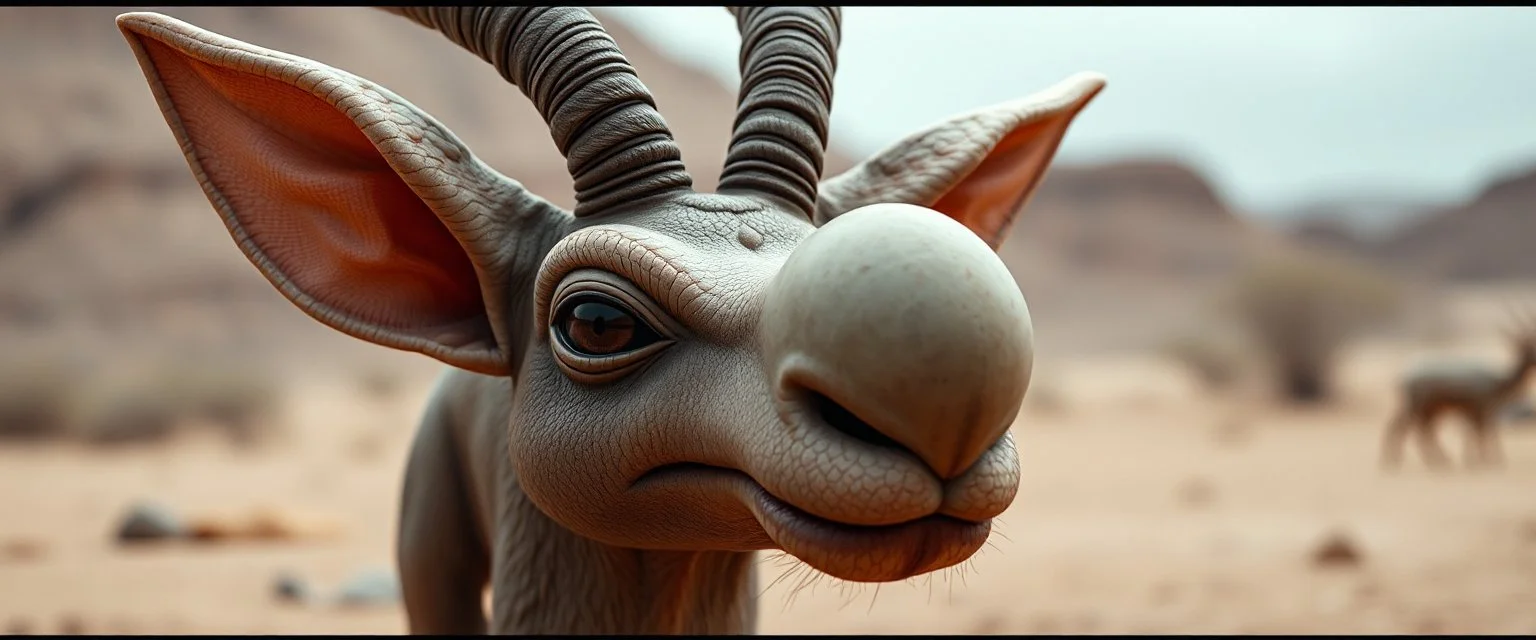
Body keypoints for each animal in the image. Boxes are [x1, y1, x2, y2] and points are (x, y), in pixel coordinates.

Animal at [1381, 314, 1536, 471]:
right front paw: (1485, 462)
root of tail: (1403, 376)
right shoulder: (1480, 410)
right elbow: (1482, 434)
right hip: (1418, 406)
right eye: (1531, 348)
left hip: (1426, 409)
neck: (1499, 381)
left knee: (1416, 429)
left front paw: (1482, 461)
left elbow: (1480, 434)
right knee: (1405, 428)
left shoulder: (1478, 412)